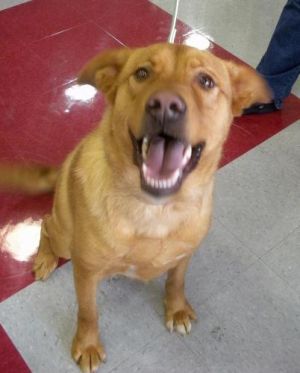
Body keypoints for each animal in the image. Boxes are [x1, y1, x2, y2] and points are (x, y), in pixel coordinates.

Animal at [0, 43, 270, 372]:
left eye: (206, 81)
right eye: (142, 73)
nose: (165, 105)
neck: (155, 210)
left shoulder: (184, 255)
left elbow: (176, 282)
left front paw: (176, 309)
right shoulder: (85, 272)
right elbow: (88, 313)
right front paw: (87, 344)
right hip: (64, 235)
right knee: (46, 225)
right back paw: (45, 258)